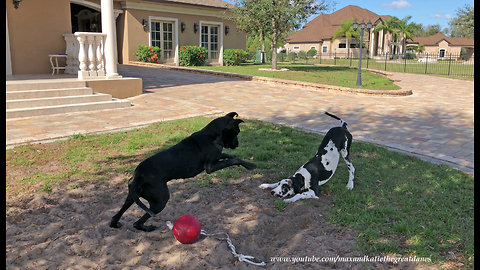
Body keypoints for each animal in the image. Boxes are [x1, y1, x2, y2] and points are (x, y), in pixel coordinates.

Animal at [110, 113, 256, 231]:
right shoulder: (210, 166)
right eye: (237, 131)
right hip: (160, 201)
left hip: (132, 196)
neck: (211, 135)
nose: (237, 144)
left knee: (117, 215)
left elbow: (228, 156)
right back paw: (148, 228)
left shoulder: (217, 157)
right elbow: (233, 160)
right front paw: (250, 165)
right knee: (137, 223)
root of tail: (138, 176)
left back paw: (115, 224)